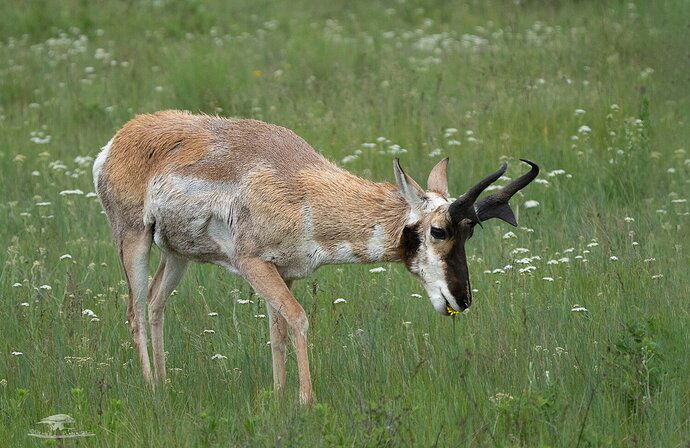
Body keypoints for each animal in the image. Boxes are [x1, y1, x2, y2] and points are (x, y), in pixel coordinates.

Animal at [94, 110, 536, 404]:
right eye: (439, 230)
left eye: (470, 232)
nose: (463, 299)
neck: (305, 186)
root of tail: (120, 138)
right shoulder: (253, 264)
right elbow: (300, 319)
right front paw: (306, 400)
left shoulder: (283, 273)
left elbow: (277, 332)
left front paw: (279, 395)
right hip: (134, 240)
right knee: (134, 311)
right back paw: (150, 385)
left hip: (177, 255)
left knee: (155, 303)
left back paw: (164, 383)